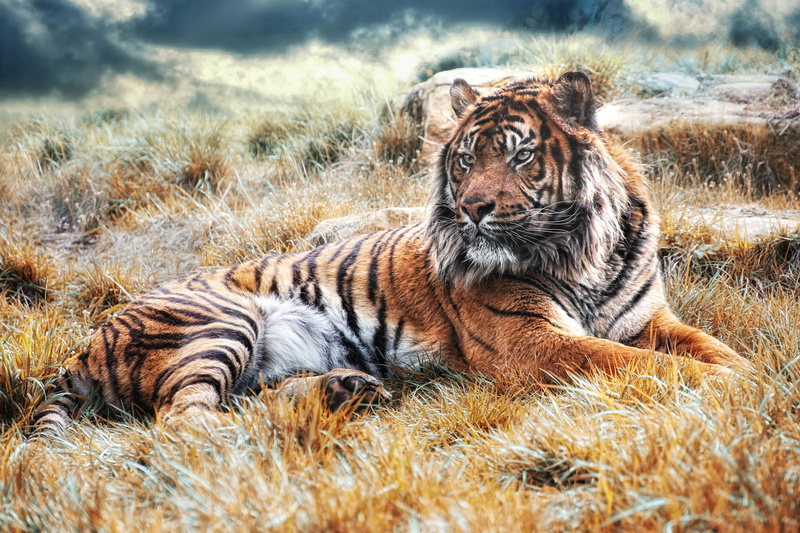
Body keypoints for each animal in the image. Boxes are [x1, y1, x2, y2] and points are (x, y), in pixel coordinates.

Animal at [33, 72, 752, 437]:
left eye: (520, 155)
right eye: (465, 160)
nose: (474, 208)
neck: (585, 253)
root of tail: (86, 341)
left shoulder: (649, 319)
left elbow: (710, 348)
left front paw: (753, 376)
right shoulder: (533, 341)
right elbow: (631, 364)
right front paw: (726, 389)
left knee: (240, 402)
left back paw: (346, 388)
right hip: (220, 320)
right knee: (184, 422)